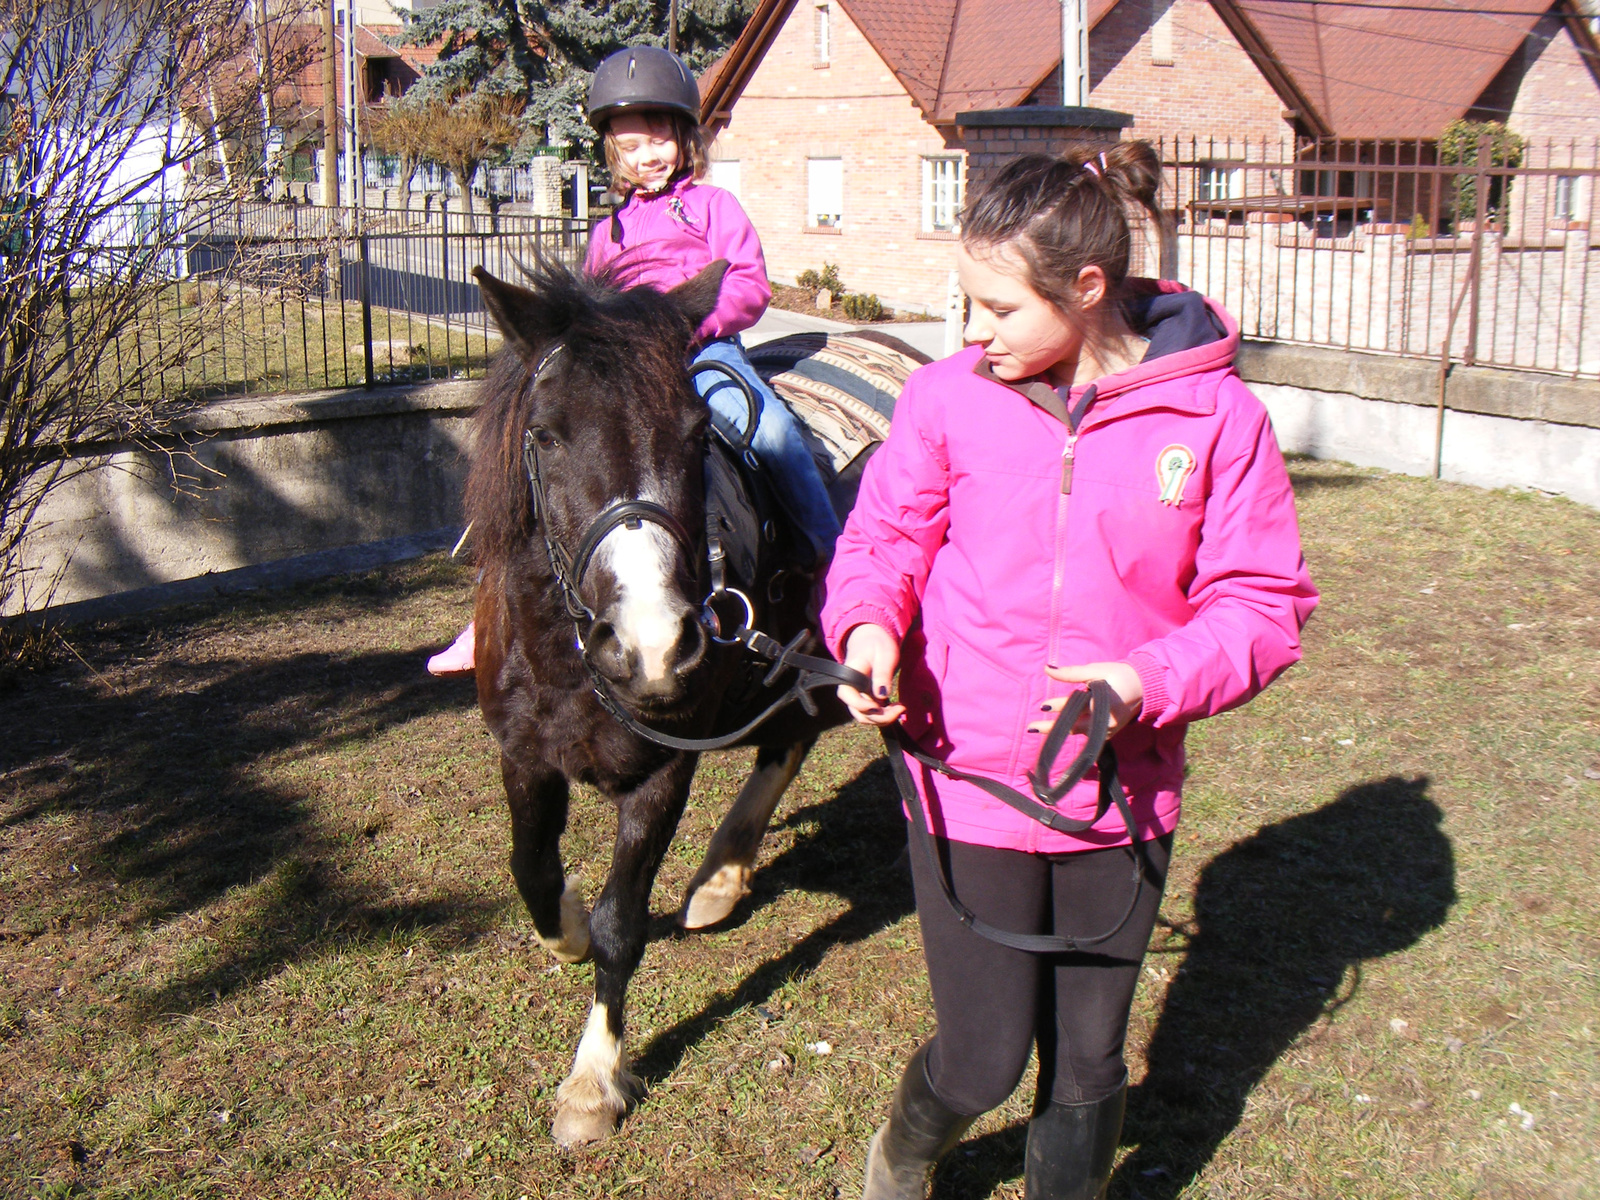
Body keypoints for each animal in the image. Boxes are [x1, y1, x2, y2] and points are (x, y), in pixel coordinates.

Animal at [467, 260, 851, 1145]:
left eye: (696, 434)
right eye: (545, 434)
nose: (653, 646)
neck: (569, 660)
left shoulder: (661, 775)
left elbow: (622, 922)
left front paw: (593, 1082)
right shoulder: (522, 756)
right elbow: (532, 873)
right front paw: (566, 931)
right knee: (791, 734)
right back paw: (721, 877)